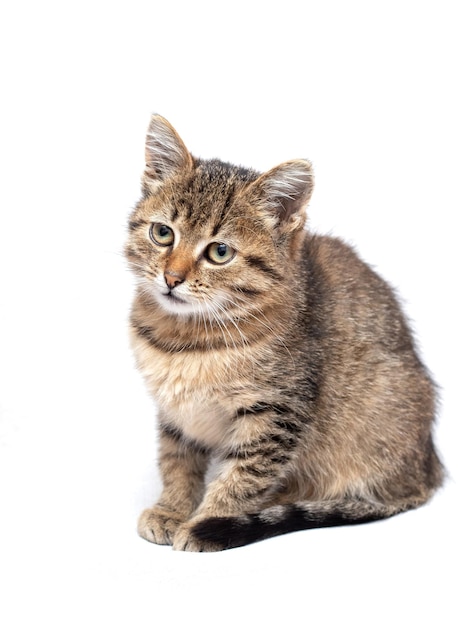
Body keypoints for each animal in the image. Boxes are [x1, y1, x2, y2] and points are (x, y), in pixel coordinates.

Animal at [126, 113, 444, 552]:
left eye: (220, 252)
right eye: (162, 233)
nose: (171, 278)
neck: (188, 336)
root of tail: (429, 469)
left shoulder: (277, 413)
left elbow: (243, 476)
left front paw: (208, 521)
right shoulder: (175, 411)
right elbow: (176, 459)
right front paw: (172, 508)